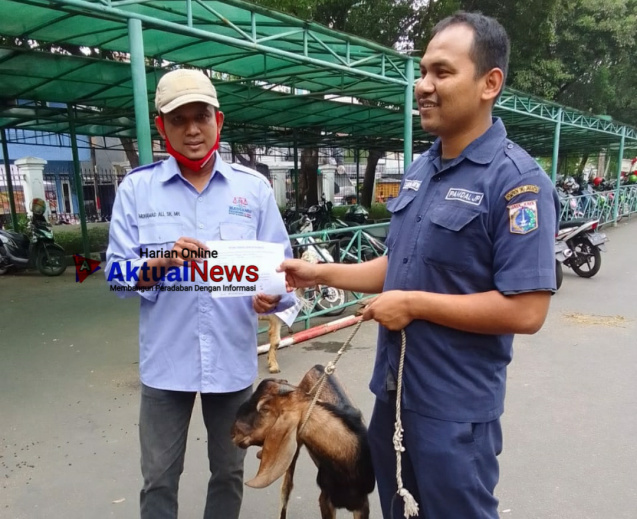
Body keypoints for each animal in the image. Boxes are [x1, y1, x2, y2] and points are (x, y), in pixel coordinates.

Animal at [232, 366, 372, 519]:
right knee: (286, 490)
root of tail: (318, 367)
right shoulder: (325, 498)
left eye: (264, 409)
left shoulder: (362, 504)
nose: (233, 432)